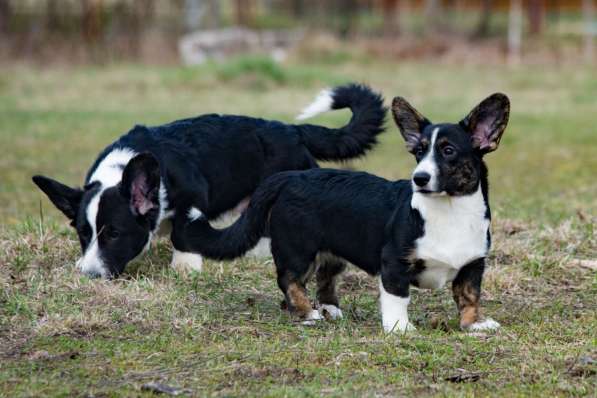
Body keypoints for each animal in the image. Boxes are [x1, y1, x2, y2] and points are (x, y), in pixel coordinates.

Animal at [33, 82, 386, 278]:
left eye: (115, 234)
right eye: (83, 234)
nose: (89, 276)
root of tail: (292, 130)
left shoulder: (193, 196)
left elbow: (182, 234)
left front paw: (185, 267)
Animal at [171, 93, 508, 332]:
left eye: (448, 151)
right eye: (419, 152)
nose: (419, 179)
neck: (448, 210)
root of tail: (288, 177)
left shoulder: (473, 265)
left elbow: (469, 296)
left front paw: (475, 324)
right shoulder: (393, 262)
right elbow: (397, 297)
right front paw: (400, 328)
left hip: (331, 252)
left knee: (324, 278)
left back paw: (328, 308)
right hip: (298, 248)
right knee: (289, 280)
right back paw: (307, 313)